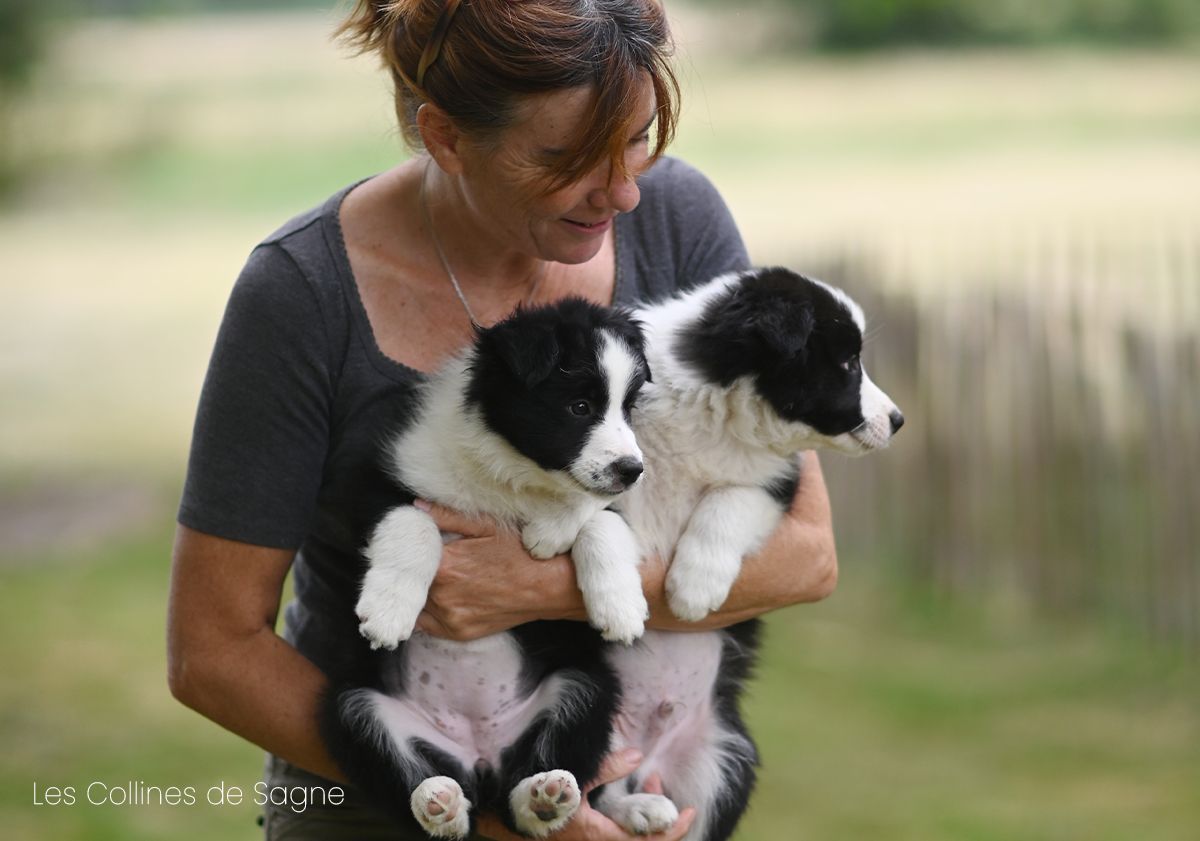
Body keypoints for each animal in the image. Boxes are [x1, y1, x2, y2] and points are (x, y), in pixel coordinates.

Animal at [324, 298, 652, 835]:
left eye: (628, 408)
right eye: (579, 407)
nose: (632, 471)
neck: (511, 475)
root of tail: (480, 758)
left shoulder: (615, 504)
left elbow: (601, 523)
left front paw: (619, 609)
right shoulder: (367, 482)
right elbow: (412, 521)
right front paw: (388, 612)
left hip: (584, 688)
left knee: (523, 800)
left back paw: (544, 798)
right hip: (356, 709)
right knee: (428, 788)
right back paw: (439, 804)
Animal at [578, 268, 902, 839]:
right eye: (847, 363)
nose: (899, 418)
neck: (720, 417)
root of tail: (650, 756)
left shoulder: (775, 489)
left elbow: (727, 502)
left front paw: (693, 587)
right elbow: (597, 521)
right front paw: (618, 605)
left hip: (724, 758)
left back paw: (646, 810)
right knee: (596, 785)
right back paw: (635, 807)